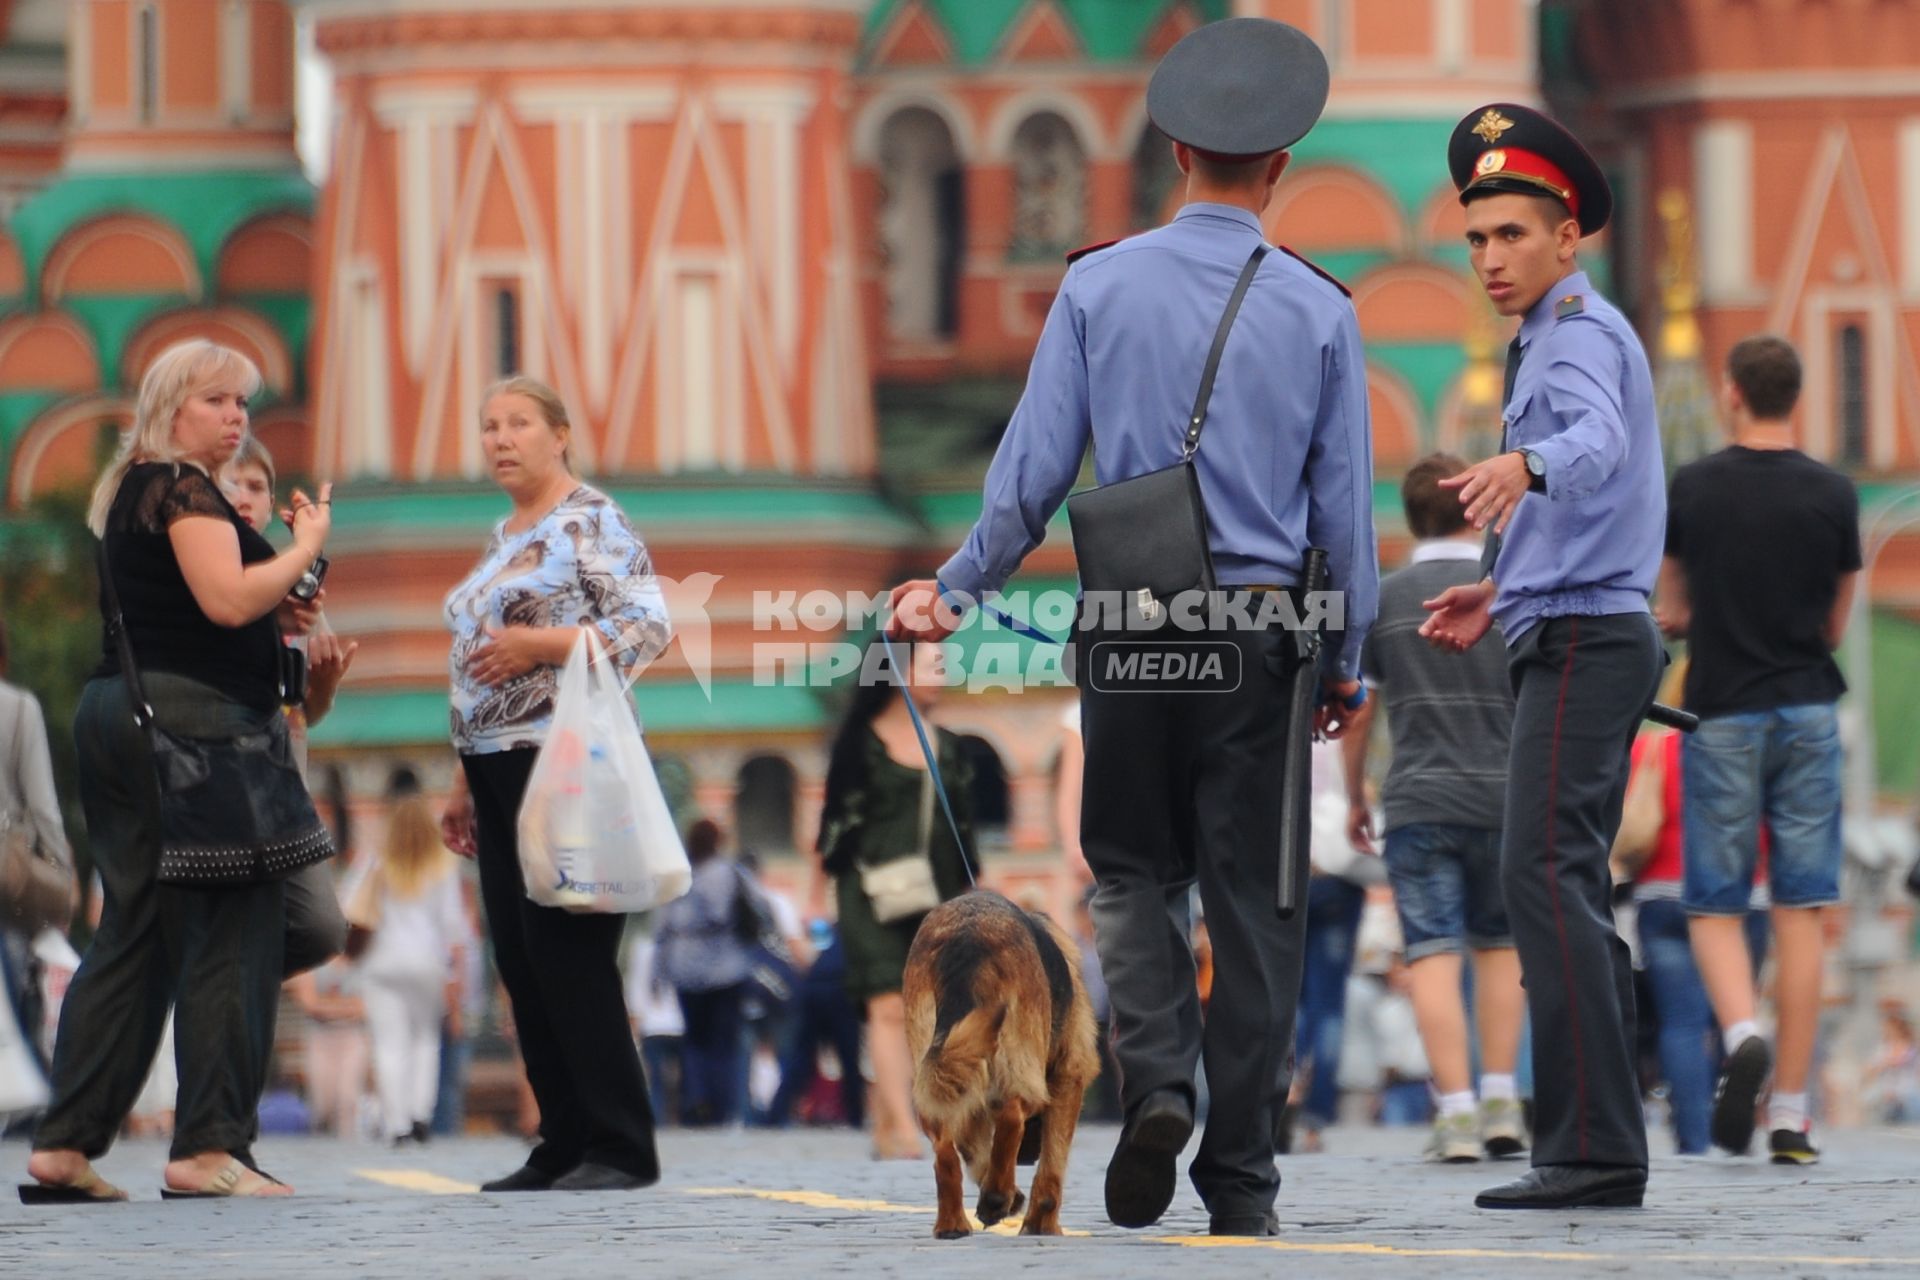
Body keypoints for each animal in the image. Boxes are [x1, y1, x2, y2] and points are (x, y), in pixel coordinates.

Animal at [898, 890, 1098, 1243]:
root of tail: (966, 938)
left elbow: (976, 1153)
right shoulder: (1069, 1077)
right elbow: (1052, 1169)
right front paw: (1041, 1225)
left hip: (934, 1070)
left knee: (944, 1153)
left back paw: (953, 1223)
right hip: (1021, 1066)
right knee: (1011, 1116)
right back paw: (994, 1200)